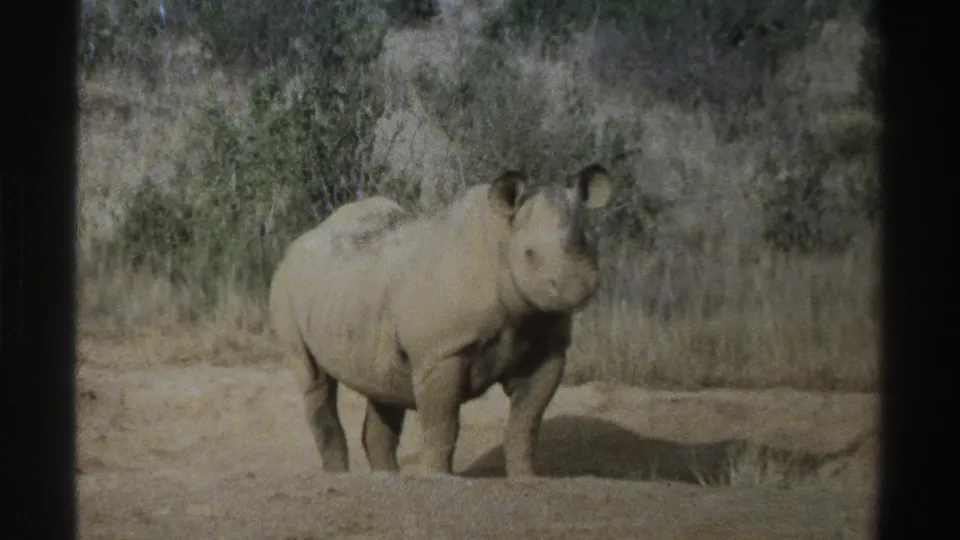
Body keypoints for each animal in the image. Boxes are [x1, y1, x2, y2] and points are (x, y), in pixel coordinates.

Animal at [268, 164, 614, 477]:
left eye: (588, 244)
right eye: (529, 254)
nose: (580, 285)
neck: (500, 241)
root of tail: (297, 242)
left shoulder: (546, 345)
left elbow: (525, 423)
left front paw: (526, 478)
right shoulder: (442, 352)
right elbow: (442, 424)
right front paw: (437, 477)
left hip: (354, 290)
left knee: (382, 384)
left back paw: (387, 477)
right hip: (286, 286)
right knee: (315, 380)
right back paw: (338, 475)